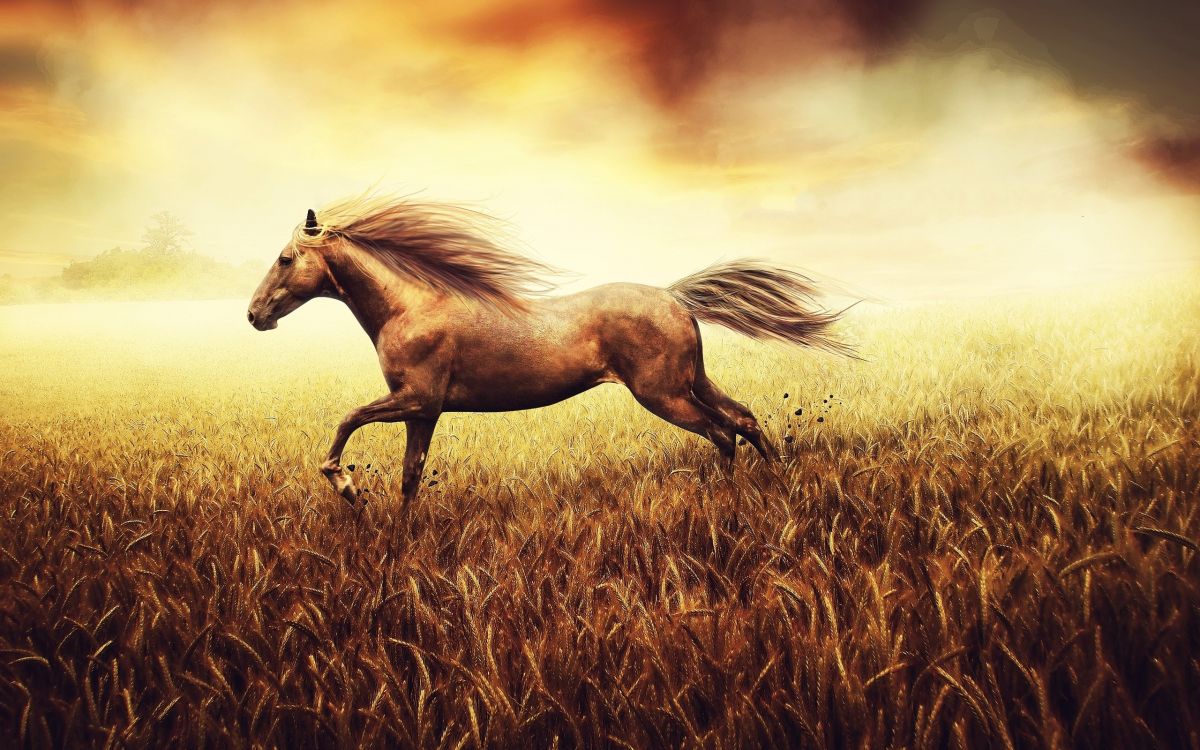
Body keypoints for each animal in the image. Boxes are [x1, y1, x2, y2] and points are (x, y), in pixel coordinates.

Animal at [247, 195, 854, 507]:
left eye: (284, 258)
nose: (254, 315)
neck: (409, 307)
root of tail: (676, 297)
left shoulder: (416, 399)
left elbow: (347, 420)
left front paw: (346, 486)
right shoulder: (423, 411)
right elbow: (410, 477)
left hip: (662, 394)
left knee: (721, 432)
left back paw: (730, 500)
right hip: (691, 381)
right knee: (743, 418)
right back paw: (776, 483)